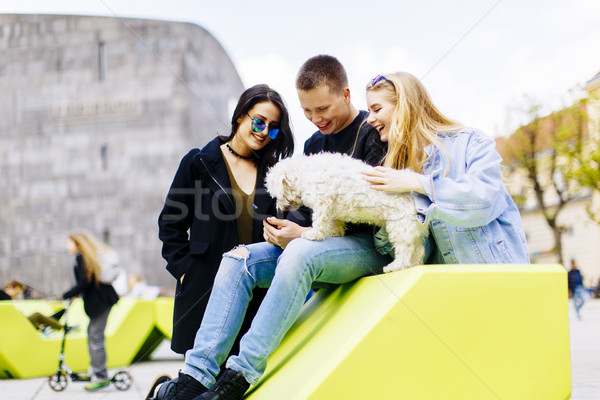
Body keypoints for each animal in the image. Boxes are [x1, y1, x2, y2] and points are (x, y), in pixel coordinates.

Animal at [264, 152, 428, 272]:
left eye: (276, 195)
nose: (281, 208)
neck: (302, 173)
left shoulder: (322, 200)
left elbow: (319, 220)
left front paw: (313, 234)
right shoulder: (332, 207)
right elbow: (334, 221)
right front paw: (334, 233)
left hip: (400, 226)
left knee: (405, 249)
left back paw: (396, 266)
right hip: (413, 230)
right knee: (419, 250)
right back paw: (414, 264)